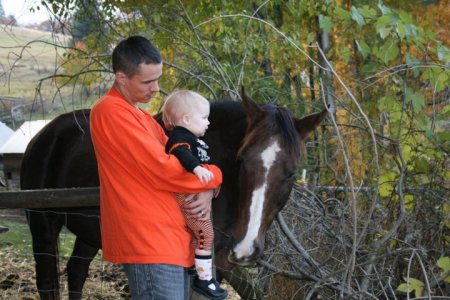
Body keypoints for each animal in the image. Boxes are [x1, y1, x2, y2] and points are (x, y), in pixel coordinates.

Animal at [21, 89, 326, 300]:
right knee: (47, 282)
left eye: (290, 173)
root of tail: (46, 134)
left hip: (88, 234)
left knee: (76, 272)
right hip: (43, 226)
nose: (245, 249)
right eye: (241, 161)